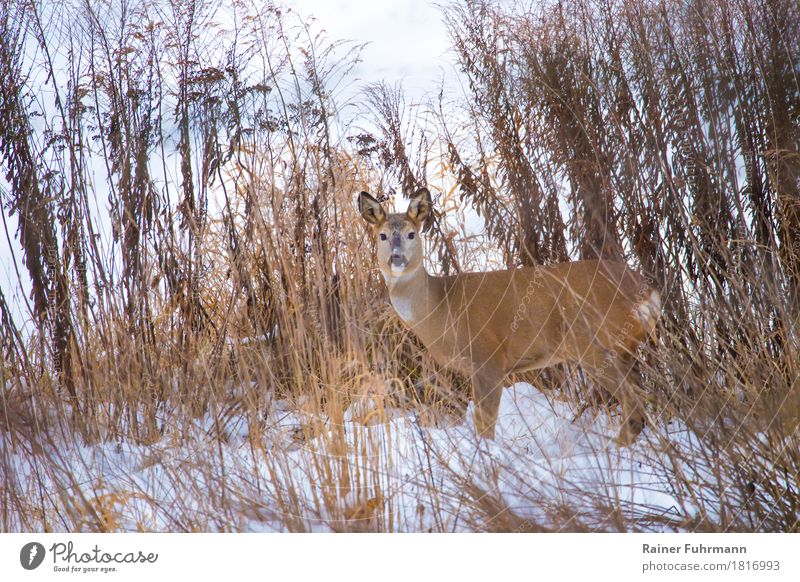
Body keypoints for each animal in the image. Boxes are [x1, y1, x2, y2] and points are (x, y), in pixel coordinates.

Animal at [360, 187, 660, 448]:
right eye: (382, 236)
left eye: (412, 234)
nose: (396, 258)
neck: (440, 306)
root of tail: (647, 292)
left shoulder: (488, 358)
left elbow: (485, 425)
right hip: (624, 349)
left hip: (596, 344)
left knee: (635, 406)